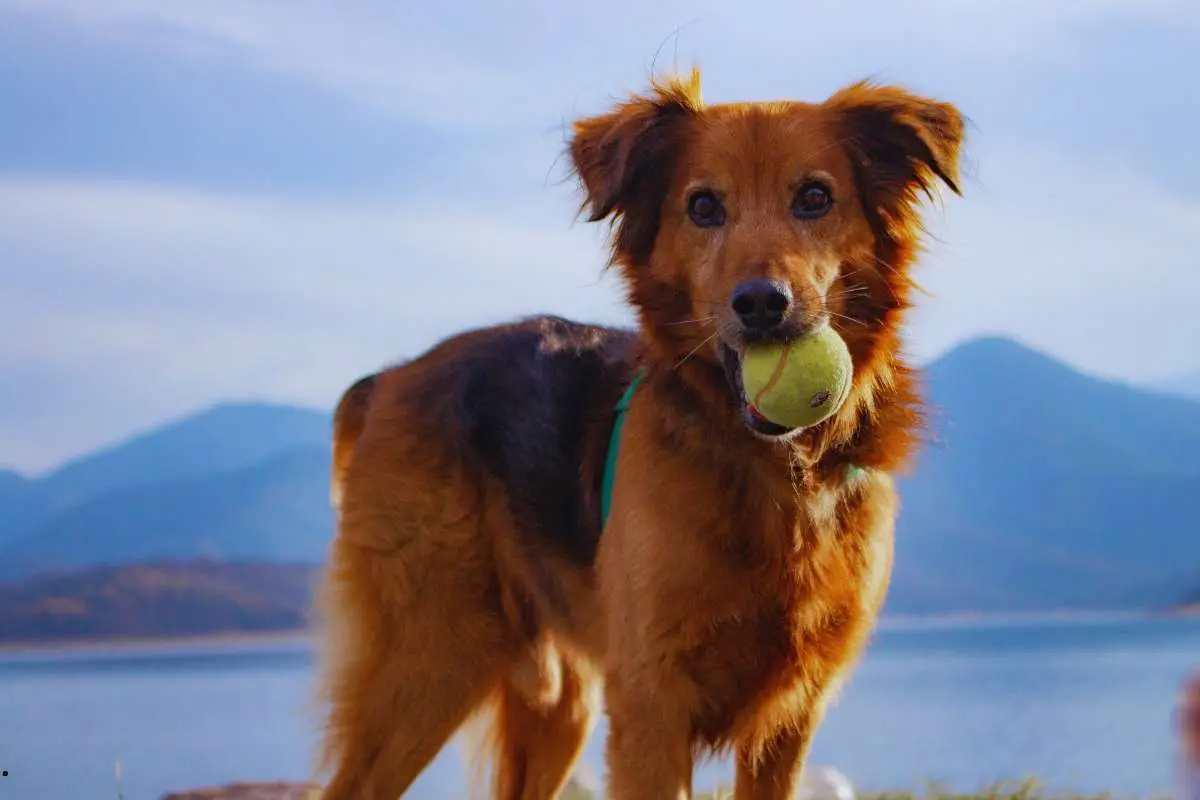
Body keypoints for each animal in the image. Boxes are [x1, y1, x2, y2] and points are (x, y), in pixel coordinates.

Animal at [312, 70, 964, 800]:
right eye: (703, 206)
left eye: (815, 197)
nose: (761, 304)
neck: (774, 471)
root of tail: (387, 378)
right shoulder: (652, 704)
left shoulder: (790, 716)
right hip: (432, 655)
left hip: (558, 705)